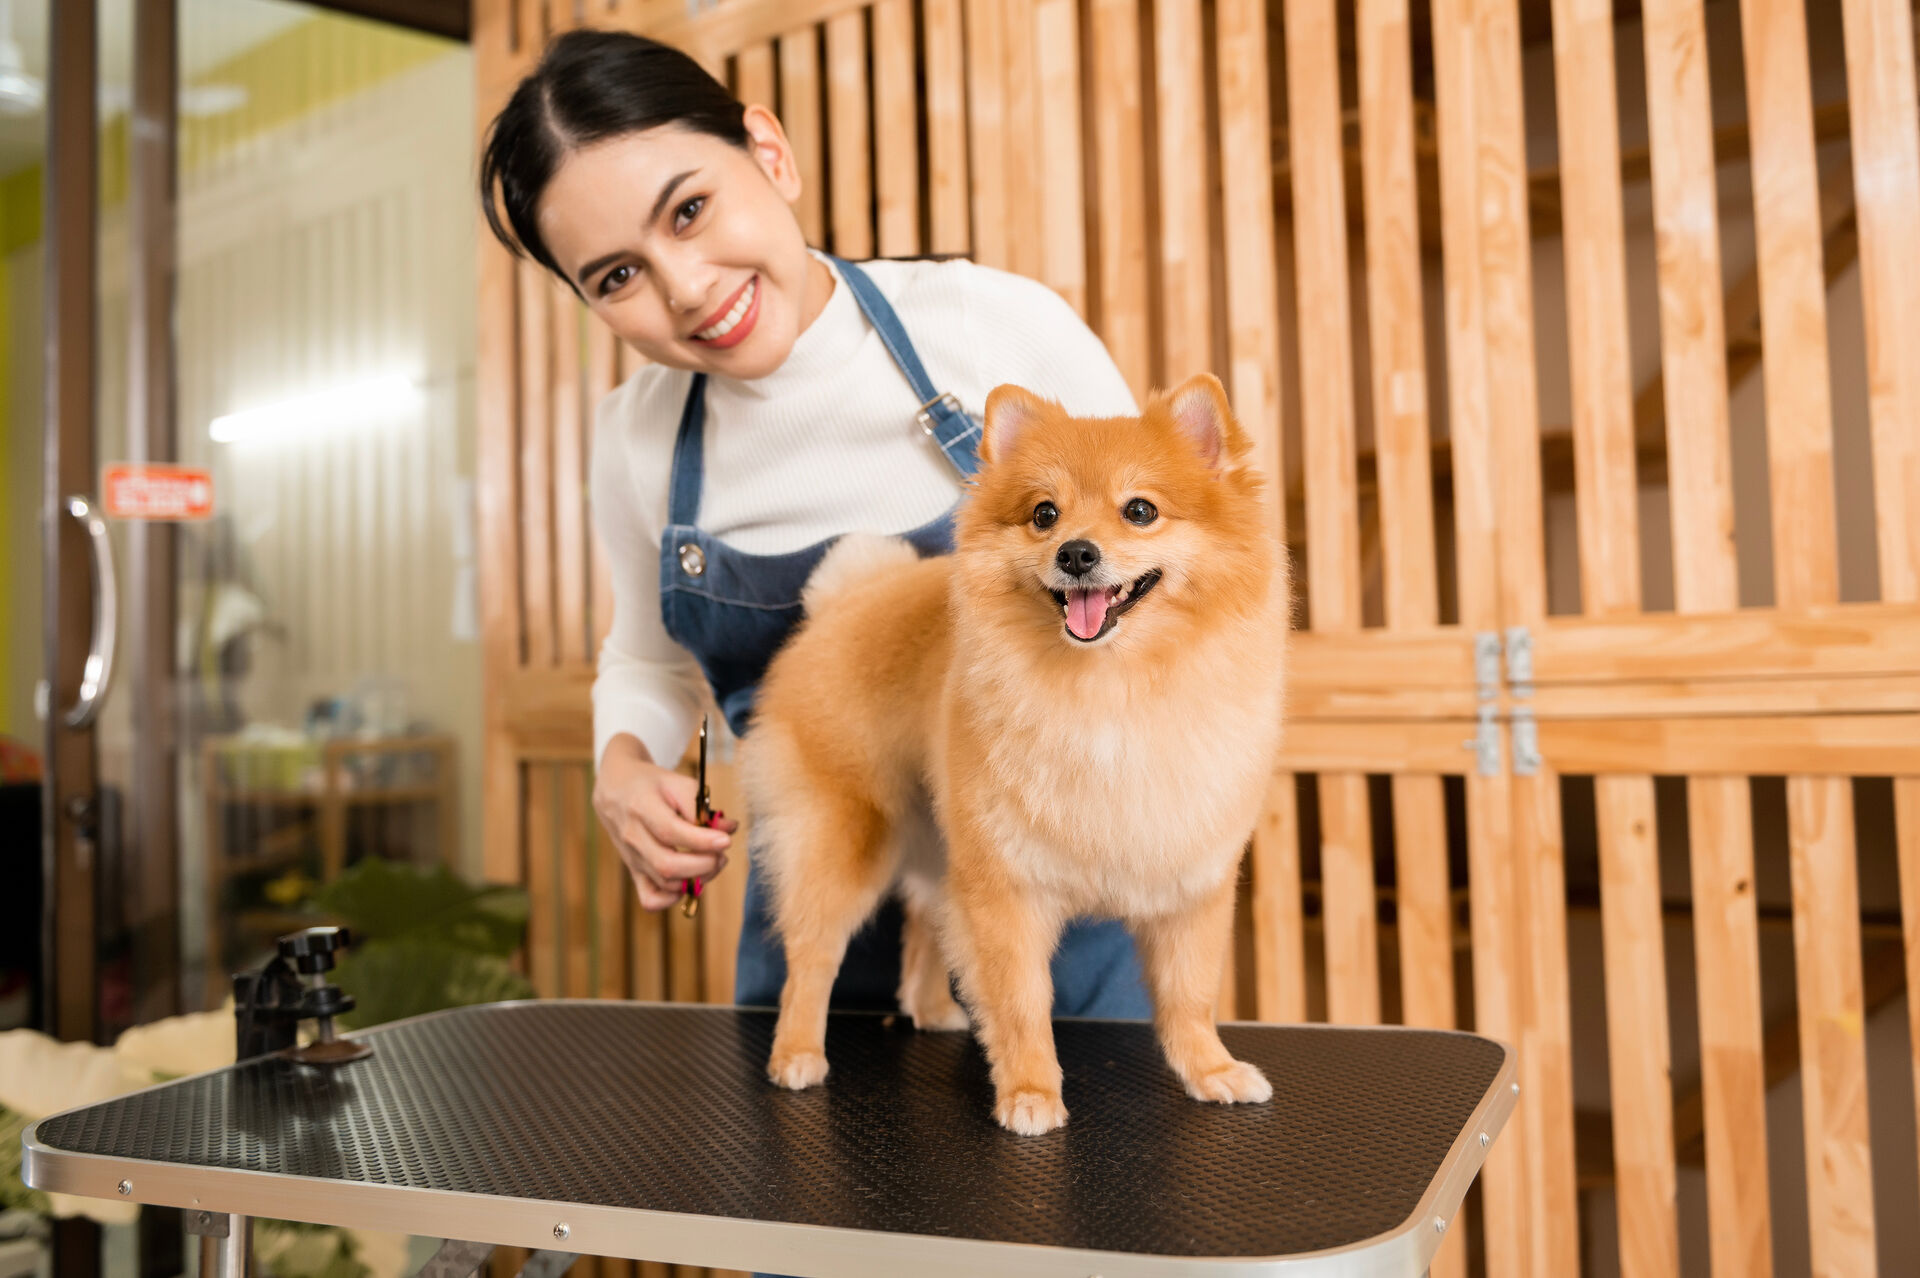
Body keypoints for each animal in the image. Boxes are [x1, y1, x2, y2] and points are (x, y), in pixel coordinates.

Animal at [741, 374, 1282, 1128]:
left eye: (1140, 511)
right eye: (1044, 514)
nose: (1077, 553)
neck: (1112, 689)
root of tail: (846, 600)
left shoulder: (1189, 881)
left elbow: (1190, 995)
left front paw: (1211, 1070)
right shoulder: (1006, 885)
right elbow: (1023, 1000)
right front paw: (1029, 1091)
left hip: (939, 834)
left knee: (924, 919)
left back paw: (931, 1008)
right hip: (845, 836)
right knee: (811, 958)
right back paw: (796, 1053)